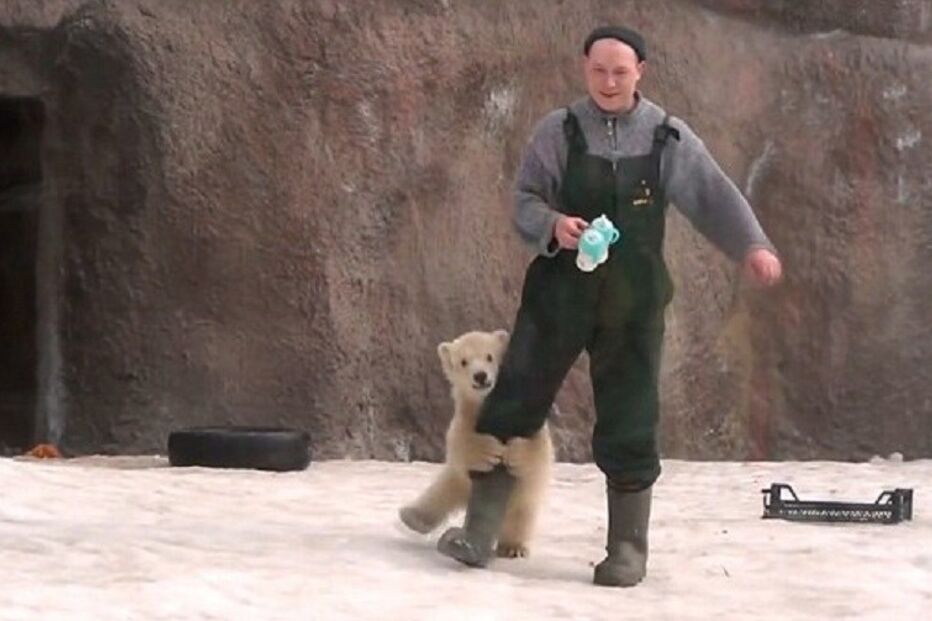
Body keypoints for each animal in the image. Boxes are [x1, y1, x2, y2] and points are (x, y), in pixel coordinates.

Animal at [398, 329, 554, 558]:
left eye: (489, 356)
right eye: (463, 361)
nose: (480, 376)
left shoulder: (533, 426)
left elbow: (540, 452)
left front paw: (514, 453)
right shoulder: (465, 418)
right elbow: (459, 443)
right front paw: (488, 451)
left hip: (522, 500)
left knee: (520, 516)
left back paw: (513, 547)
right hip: (456, 481)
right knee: (439, 493)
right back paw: (412, 517)